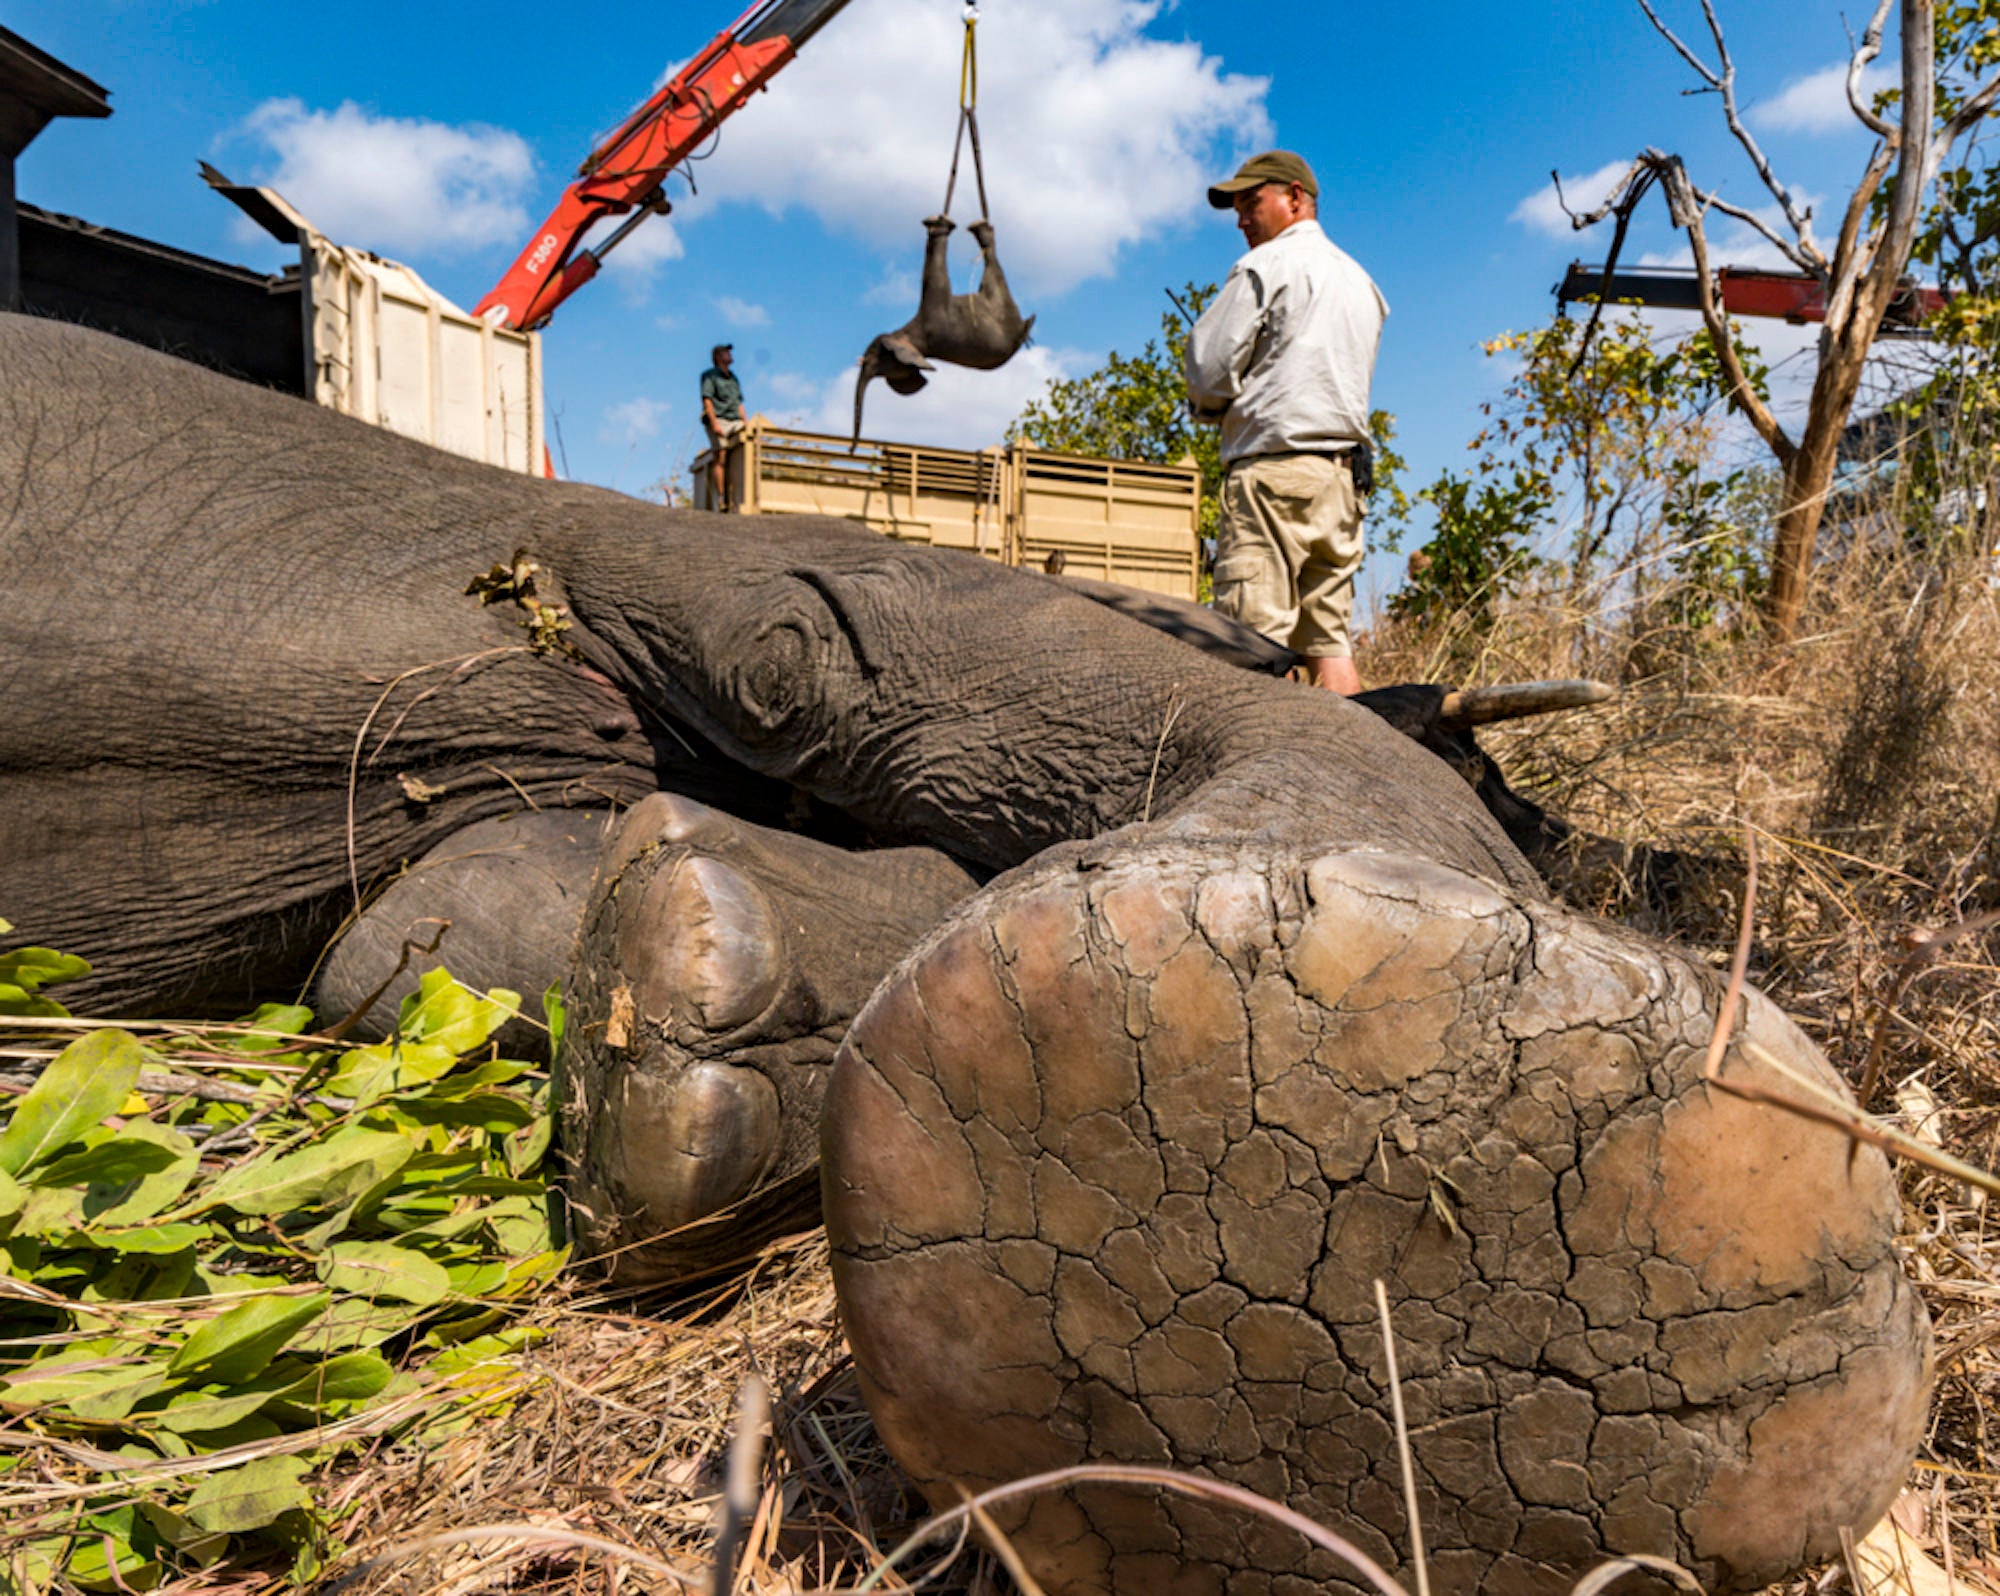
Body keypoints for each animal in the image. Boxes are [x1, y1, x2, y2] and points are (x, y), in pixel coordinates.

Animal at [852, 213, 1034, 440]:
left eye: (872, 353)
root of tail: (1023, 331)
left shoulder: (934, 310)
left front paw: (935, 223)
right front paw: (939, 224)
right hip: (1000, 301)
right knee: (992, 267)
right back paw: (979, 229)